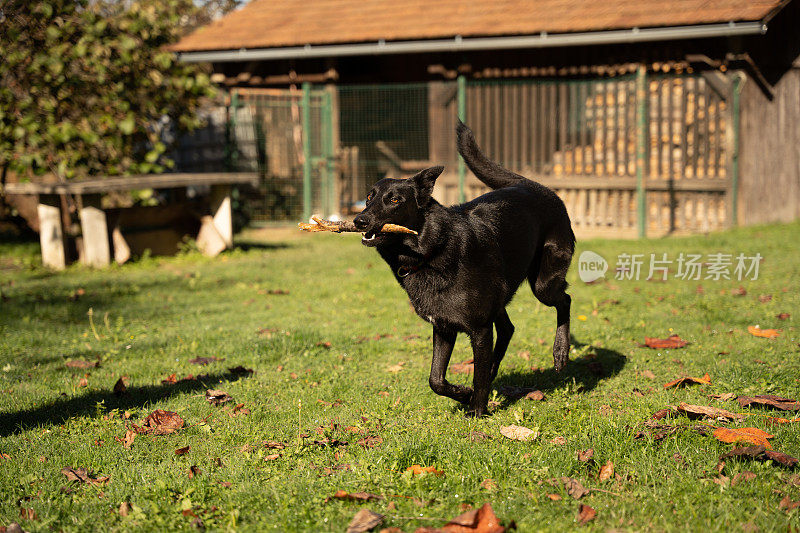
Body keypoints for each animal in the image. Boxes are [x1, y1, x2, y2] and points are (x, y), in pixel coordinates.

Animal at [354, 121, 572, 416]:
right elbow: (435, 379)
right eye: (369, 197)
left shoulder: (479, 330)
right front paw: (463, 393)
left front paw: (477, 412)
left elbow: (476, 376)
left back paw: (560, 352)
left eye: (395, 200)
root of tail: (533, 184)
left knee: (565, 300)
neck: (431, 250)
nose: (359, 220)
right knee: (508, 329)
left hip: (543, 285)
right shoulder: (444, 327)